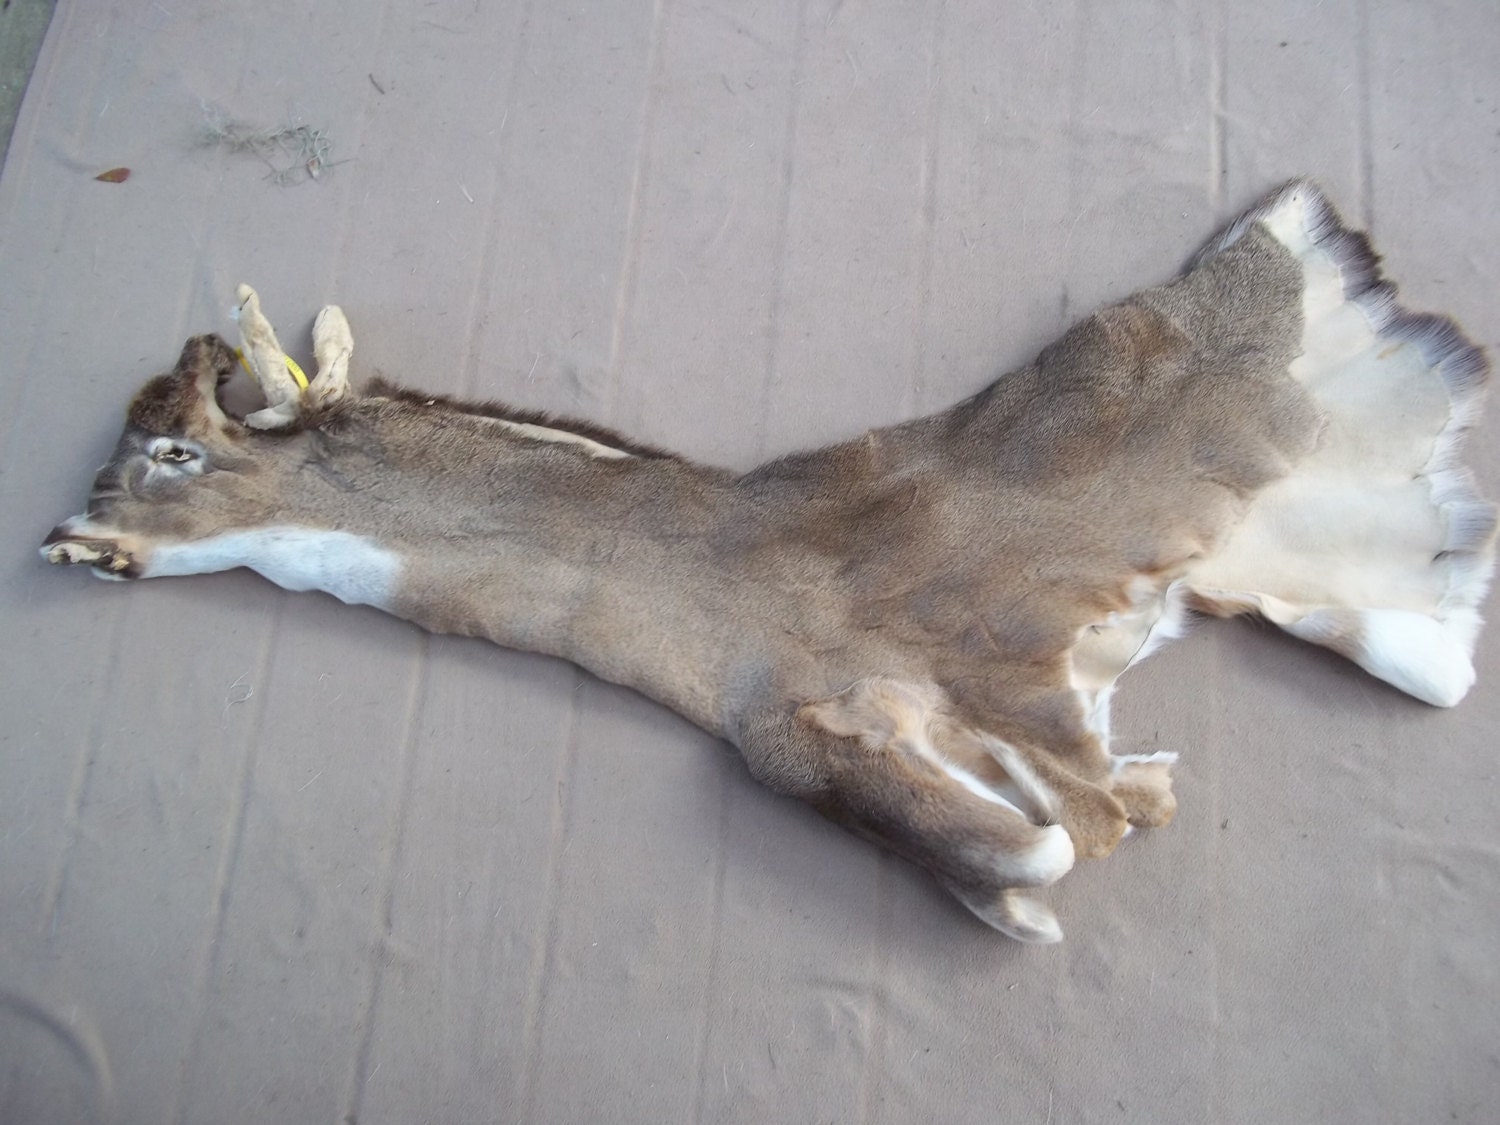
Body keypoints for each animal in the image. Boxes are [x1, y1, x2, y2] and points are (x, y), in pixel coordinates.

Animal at [40, 181, 1495, 942]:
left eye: (171, 451)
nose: (67, 536)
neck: (717, 590)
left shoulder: (809, 719)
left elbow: (1048, 846)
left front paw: (1090, 832)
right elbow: (1050, 839)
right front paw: (1101, 817)